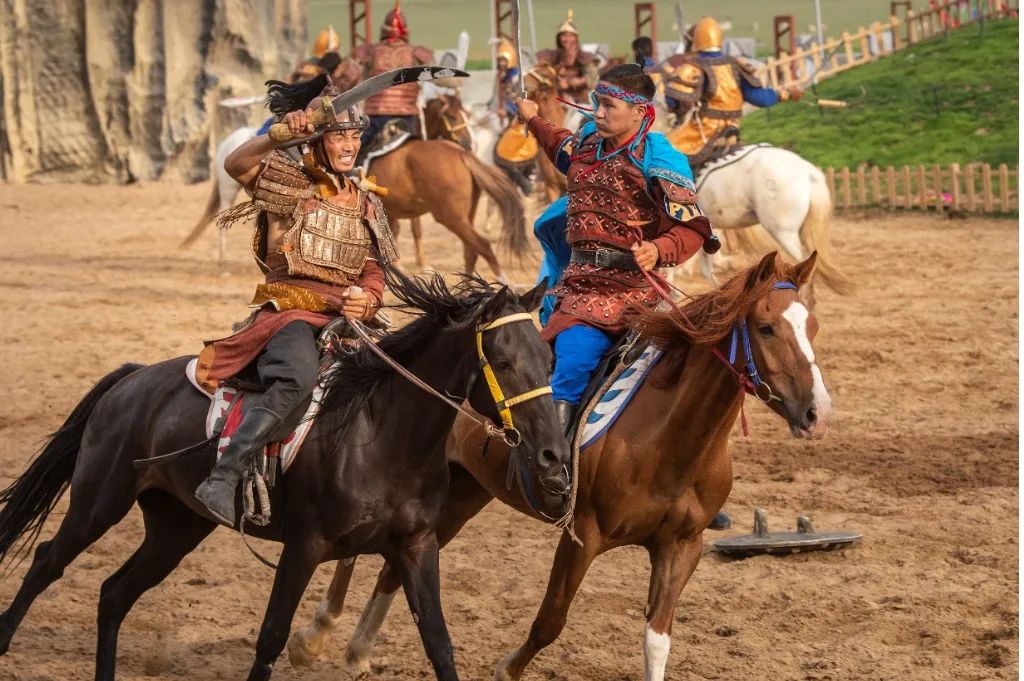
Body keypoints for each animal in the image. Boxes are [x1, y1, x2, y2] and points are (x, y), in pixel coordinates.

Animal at [0, 270, 573, 679]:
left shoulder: (417, 546)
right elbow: (271, 638)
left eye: (549, 358)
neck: (379, 434)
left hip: (177, 526)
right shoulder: (305, 546)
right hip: (99, 501)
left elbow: (439, 643)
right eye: (502, 361)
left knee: (115, 594)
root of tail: (133, 378)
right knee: (47, 562)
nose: (552, 456)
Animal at [286, 251, 831, 679]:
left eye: (813, 326)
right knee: (359, 555)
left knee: (393, 566)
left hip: (463, 494)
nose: (817, 413)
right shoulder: (583, 534)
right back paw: (316, 634)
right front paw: (507, 669)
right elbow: (550, 620)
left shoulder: (683, 546)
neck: (669, 441)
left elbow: (657, 640)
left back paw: (357, 649)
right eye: (766, 328)